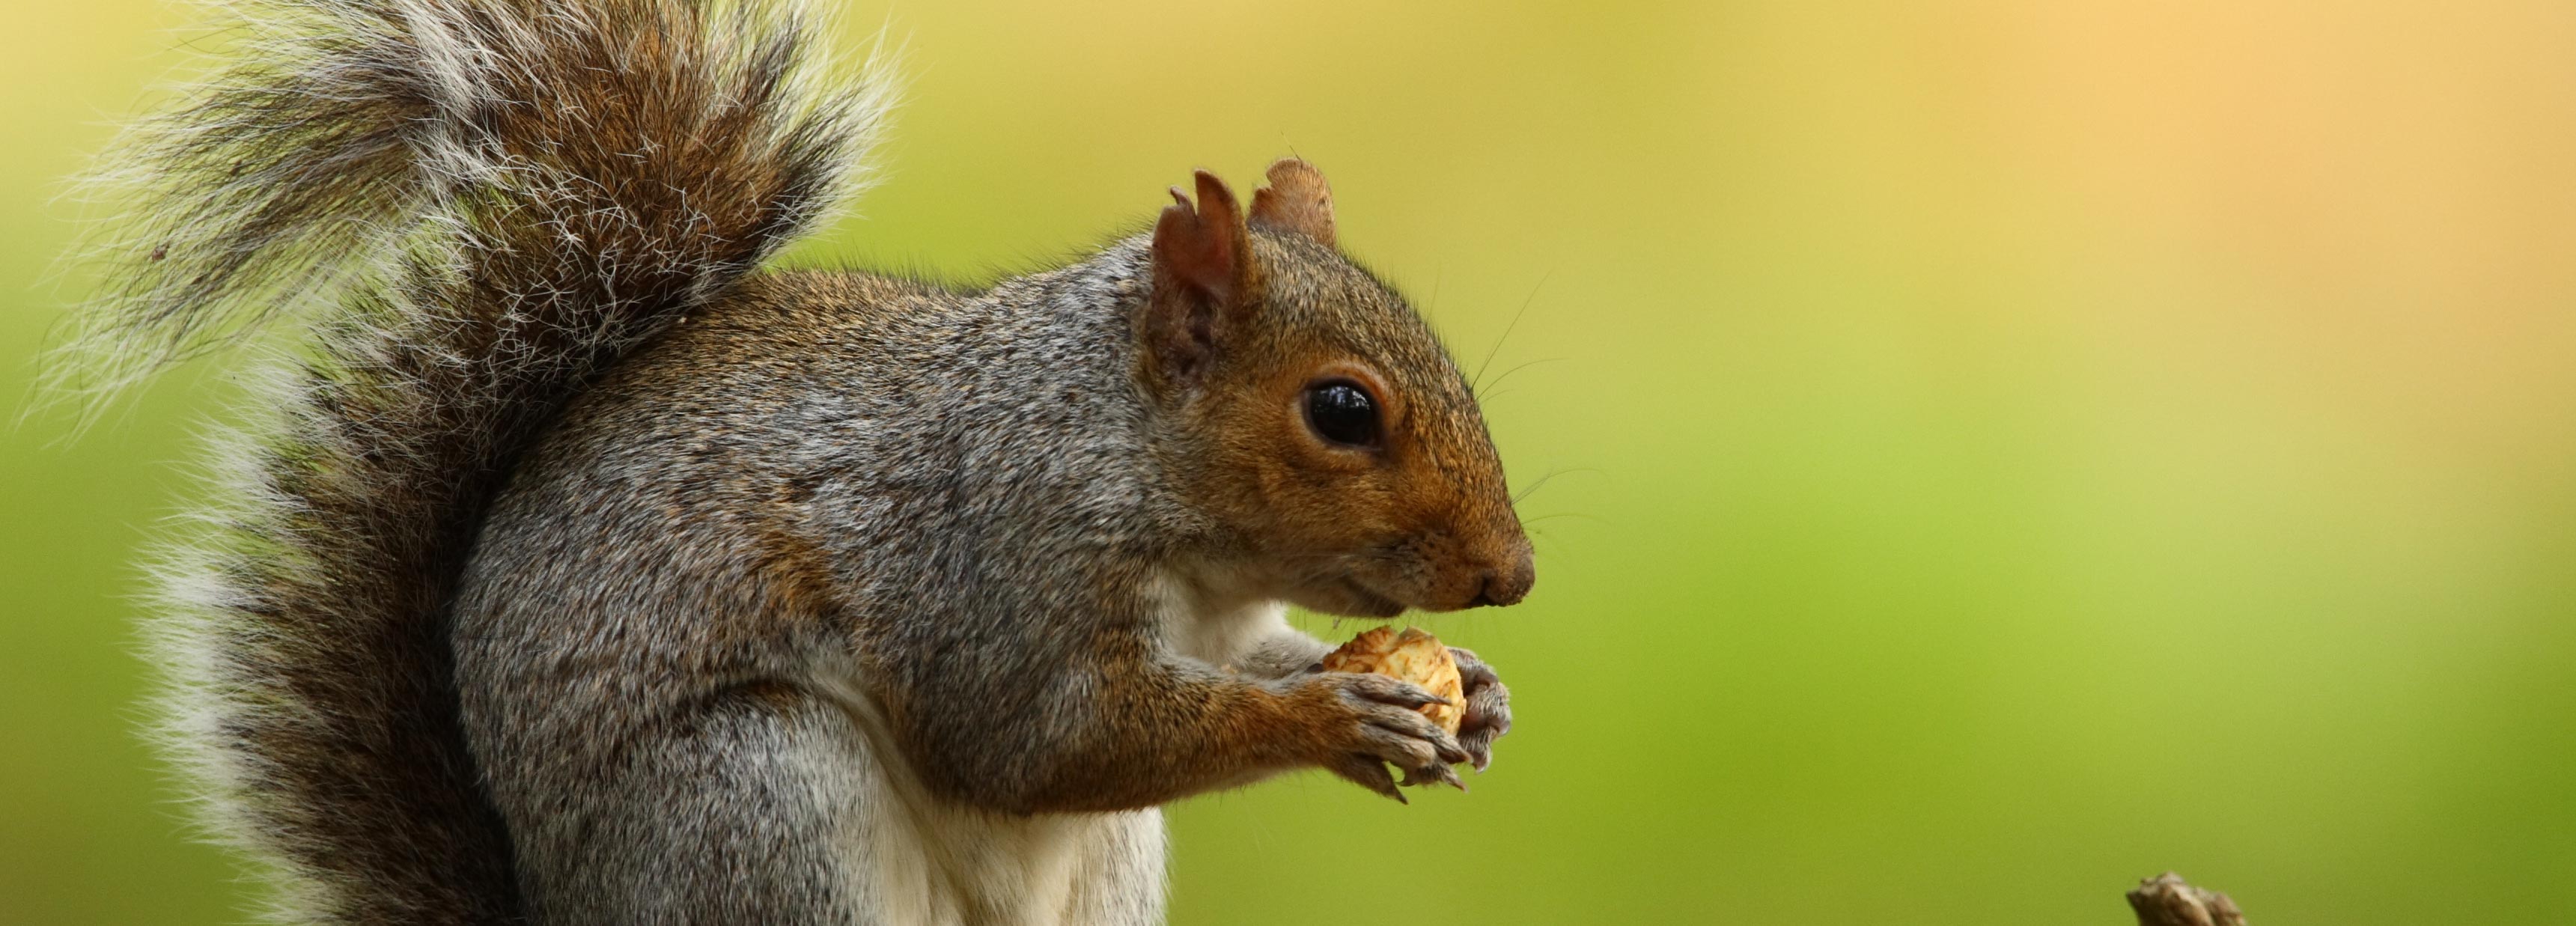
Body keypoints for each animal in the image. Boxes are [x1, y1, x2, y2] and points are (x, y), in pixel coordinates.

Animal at [65, 0, 1525, 923]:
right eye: (1340, 409)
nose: (1510, 576)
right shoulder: (990, 564)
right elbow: (1036, 739)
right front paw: (1337, 716)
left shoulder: (1220, 624)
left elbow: (1246, 669)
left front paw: (1466, 693)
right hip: (755, 795)